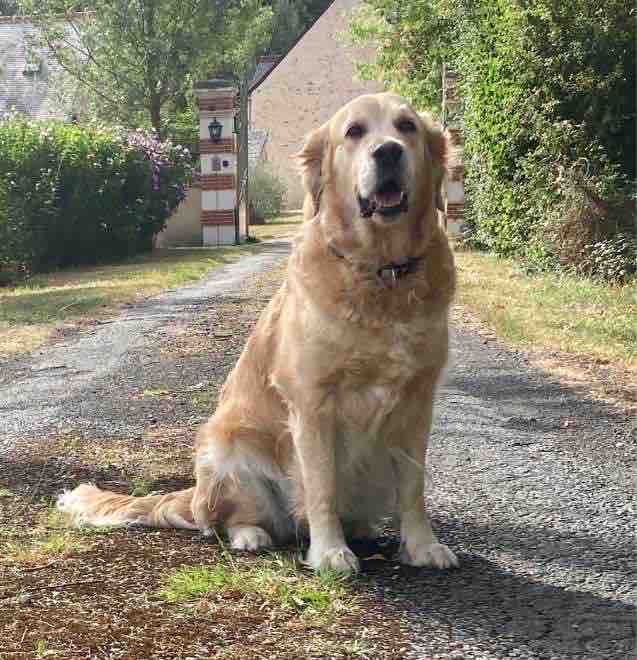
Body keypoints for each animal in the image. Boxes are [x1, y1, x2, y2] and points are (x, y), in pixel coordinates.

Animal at [58, 93, 458, 572]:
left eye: (407, 127)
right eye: (354, 131)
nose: (389, 152)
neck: (381, 272)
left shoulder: (418, 400)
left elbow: (414, 486)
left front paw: (422, 545)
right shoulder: (312, 403)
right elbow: (321, 487)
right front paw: (330, 552)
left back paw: (360, 529)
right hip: (227, 450)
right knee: (228, 520)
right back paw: (252, 535)